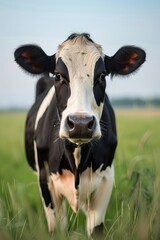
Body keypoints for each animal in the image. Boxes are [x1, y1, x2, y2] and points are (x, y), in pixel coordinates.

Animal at [14, 32, 146, 237]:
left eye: (102, 76)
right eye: (58, 75)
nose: (80, 124)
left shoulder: (106, 179)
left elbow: (96, 229)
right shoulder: (45, 180)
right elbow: (57, 230)